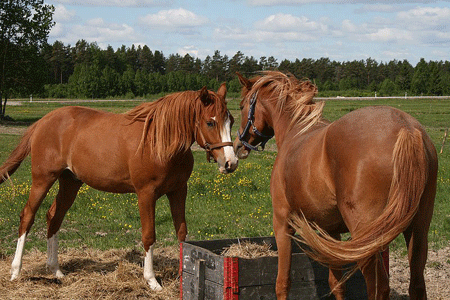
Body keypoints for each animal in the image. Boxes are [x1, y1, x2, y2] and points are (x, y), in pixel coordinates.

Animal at [0, 85, 239, 292]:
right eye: (210, 122)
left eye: (232, 121)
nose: (231, 163)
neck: (160, 143)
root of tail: (42, 121)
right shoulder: (146, 194)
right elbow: (149, 235)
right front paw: (152, 281)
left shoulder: (179, 191)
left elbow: (182, 233)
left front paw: (183, 274)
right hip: (43, 179)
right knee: (27, 216)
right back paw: (16, 271)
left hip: (70, 182)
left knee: (54, 217)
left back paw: (56, 270)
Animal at [234, 72, 438, 300]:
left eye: (241, 106)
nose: (238, 145)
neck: (296, 131)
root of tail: (406, 128)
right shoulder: (331, 233)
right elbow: (337, 284)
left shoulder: (282, 223)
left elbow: (282, 282)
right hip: (418, 230)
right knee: (417, 285)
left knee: (379, 287)